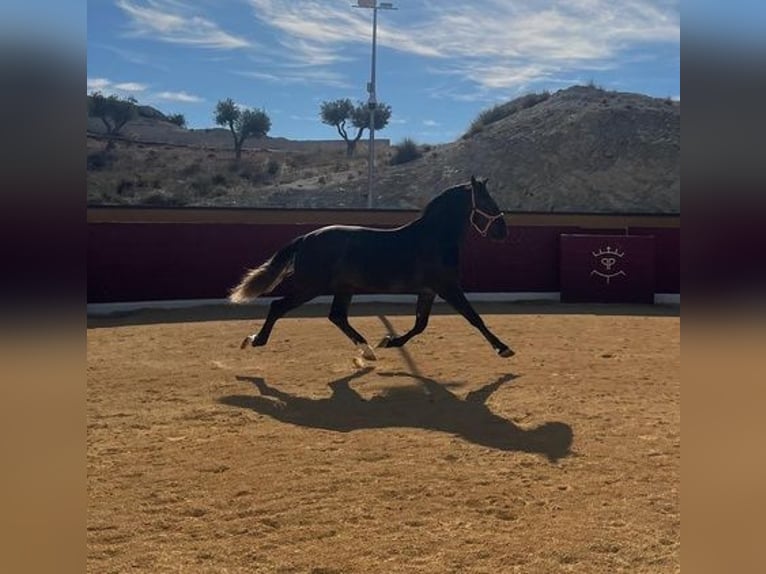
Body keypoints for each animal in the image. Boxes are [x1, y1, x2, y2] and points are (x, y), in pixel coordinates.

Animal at [228, 176, 516, 360]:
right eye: (487, 203)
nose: (503, 232)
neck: (433, 238)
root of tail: (306, 238)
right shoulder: (447, 287)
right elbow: (473, 317)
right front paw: (503, 348)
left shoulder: (429, 291)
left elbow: (420, 324)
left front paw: (389, 341)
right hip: (311, 287)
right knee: (279, 306)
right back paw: (255, 340)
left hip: (343, 287)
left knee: (337, 317)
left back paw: (368, 350)